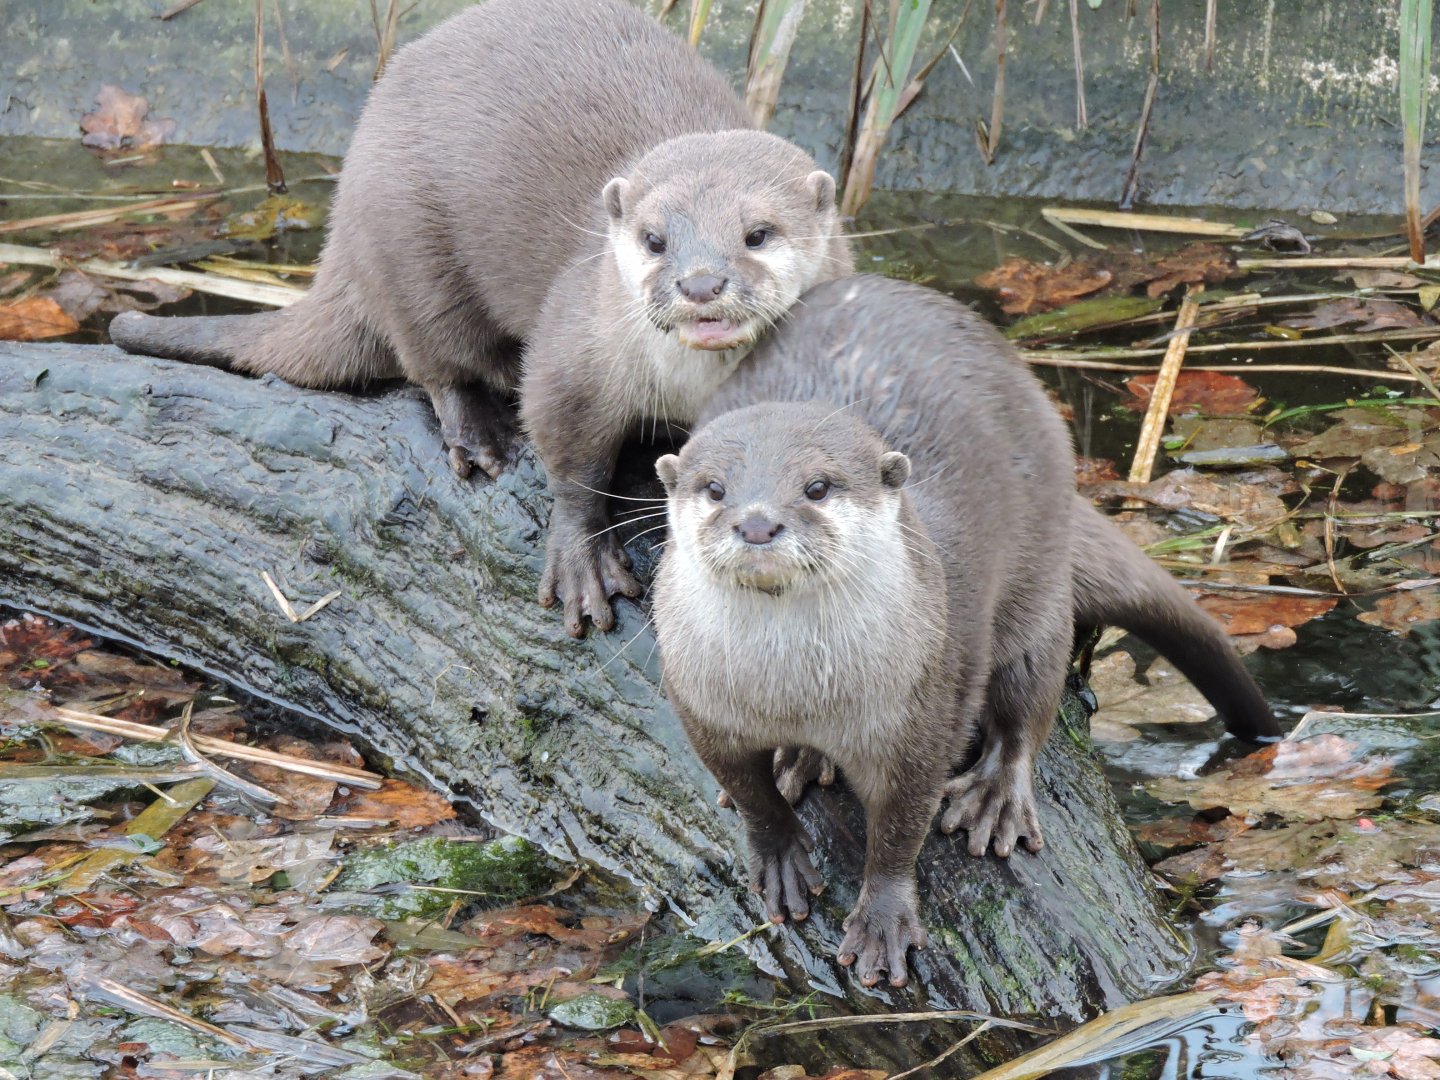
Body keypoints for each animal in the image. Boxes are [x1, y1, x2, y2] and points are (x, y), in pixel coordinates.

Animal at [107, 0, 850, 626]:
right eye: (654, 238)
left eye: (757, 234)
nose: (701, 283)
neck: (684, 387)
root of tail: (342, 231)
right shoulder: (571, 353)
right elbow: (570, 462)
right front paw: (581, 562)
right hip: (408, 251)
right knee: (433, 360)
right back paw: (480, 437)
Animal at [655, 275, 1279, 986]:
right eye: (714, 489)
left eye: (816, 487)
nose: (757, 522)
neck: (796, 691)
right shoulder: (700, 703)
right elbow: (747, 792)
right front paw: (780, 854)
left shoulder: (925, 712)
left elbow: (901, 826)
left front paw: (883, 920)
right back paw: (800, 757)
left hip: (1036, 589)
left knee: (1030, 701)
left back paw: (994, 796)